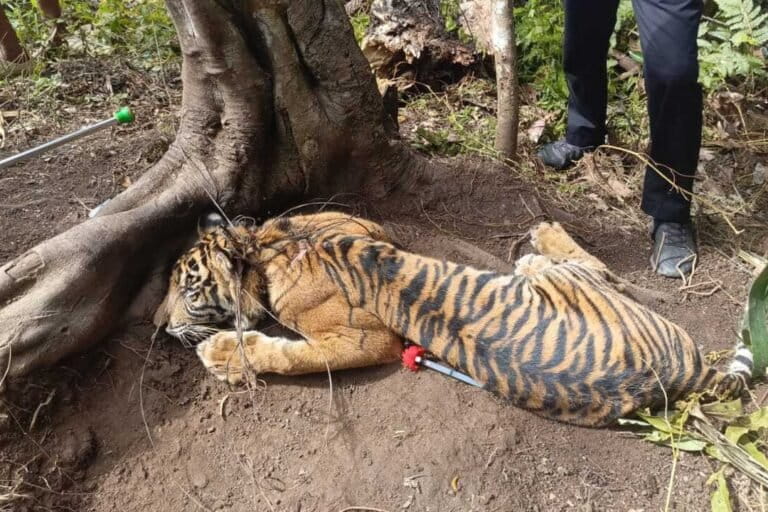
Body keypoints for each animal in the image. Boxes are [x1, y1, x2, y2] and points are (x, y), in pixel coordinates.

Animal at [155, 211, 753, 427]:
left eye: (187, 289)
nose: (159, 325)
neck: (265, 249)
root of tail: (686, 372)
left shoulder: (364, 335)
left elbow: (293, 354)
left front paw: (222, 352)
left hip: (573, 282)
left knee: (597, 265)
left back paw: (543, 233)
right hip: (570, 285)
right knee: (590, 267)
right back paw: (538, 243)